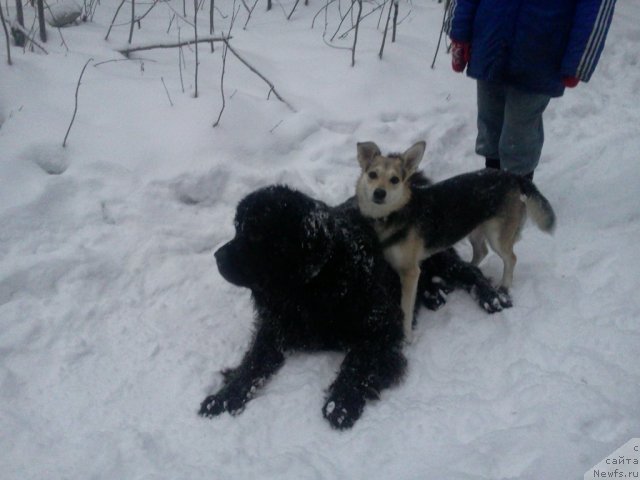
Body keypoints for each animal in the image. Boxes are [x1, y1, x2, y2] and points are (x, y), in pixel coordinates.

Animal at [198, 186, 508, 430]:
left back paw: (493, 297)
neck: (312, 288)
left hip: (437, 256)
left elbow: (356, 363)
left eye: (255, 235)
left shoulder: (380, 328)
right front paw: (224, 396)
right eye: (237, 228)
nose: (217, 256)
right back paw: (434, 295)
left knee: (469, 272)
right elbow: (252, 363)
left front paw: (341, 403)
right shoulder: (274, 328)